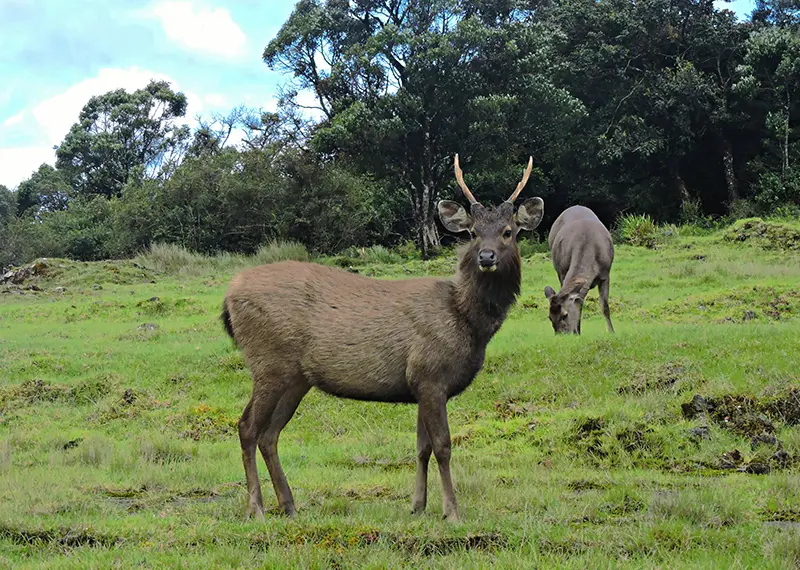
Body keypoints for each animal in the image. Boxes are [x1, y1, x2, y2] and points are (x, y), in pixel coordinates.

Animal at [220, 155, 544, 522]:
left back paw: (288, 504)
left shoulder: (420, 383)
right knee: (247, 427)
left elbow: (422, 448)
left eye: (508, 232)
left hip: (295, 377)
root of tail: (229, 297)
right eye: (473, 233)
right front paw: (451, 511)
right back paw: (257, 508)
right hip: (268, 362)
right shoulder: (430, 374)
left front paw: (417, 505)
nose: (486, 257)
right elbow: (443, 446)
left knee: (269, 434)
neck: (466, 322)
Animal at [544, 205, 615, 335]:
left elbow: (605, 306)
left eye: (565, 315)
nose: (561, 335)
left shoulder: (605, 274)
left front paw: (612, 332)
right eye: (550, 317)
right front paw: (577, 331)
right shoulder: (563, 272)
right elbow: (579, 304)